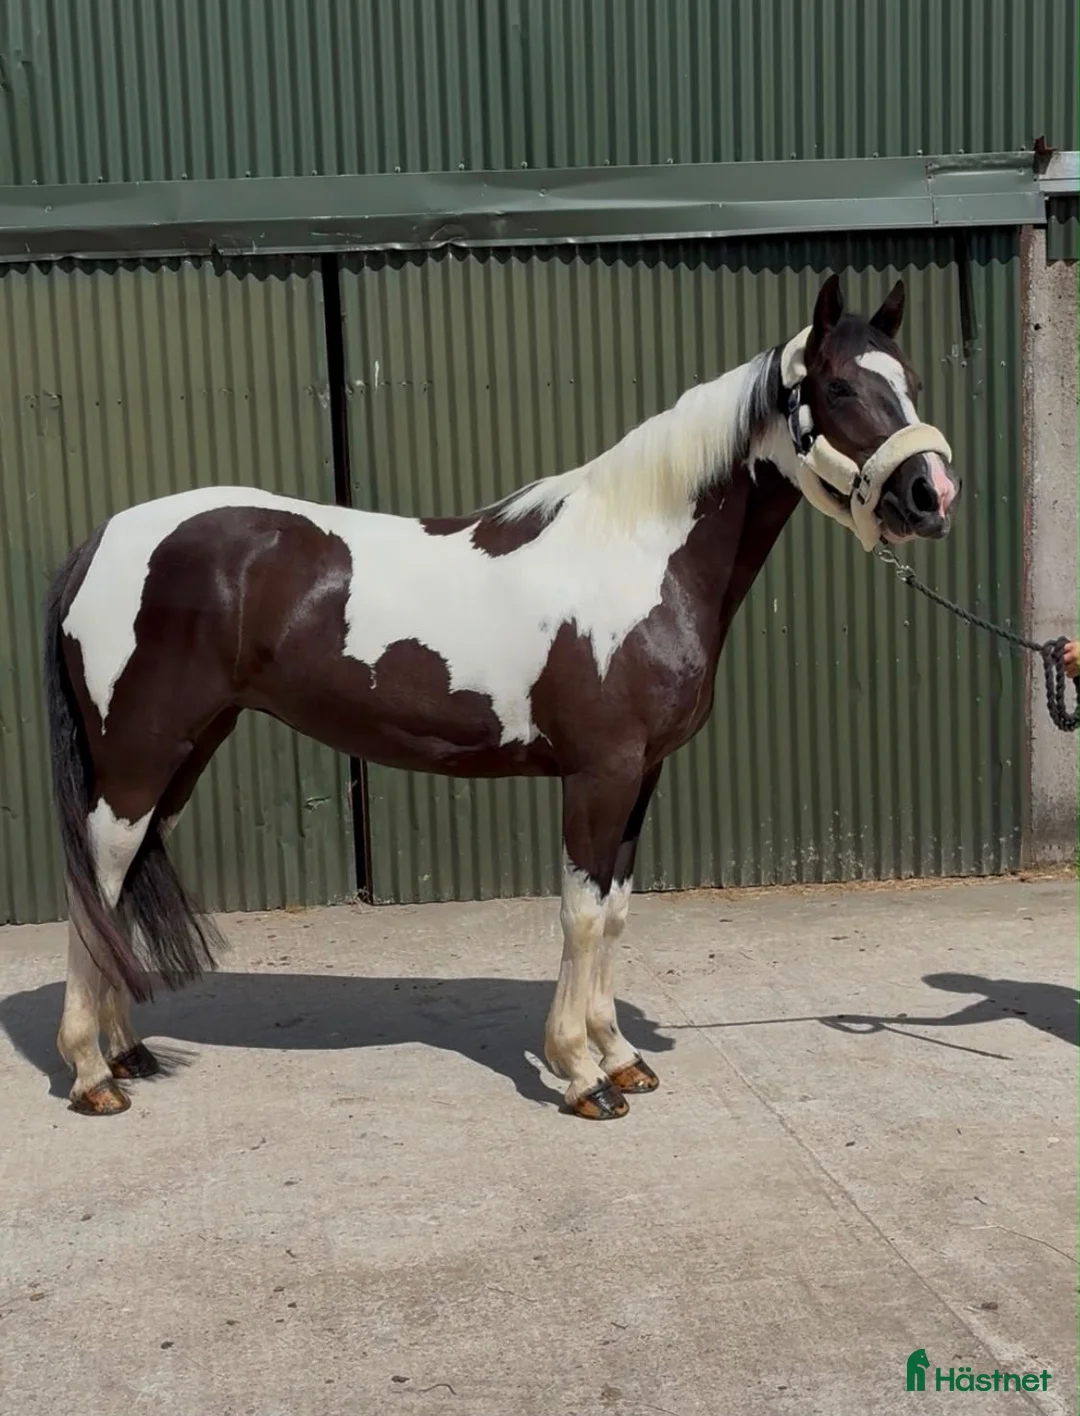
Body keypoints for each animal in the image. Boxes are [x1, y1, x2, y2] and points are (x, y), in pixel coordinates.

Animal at [43, 273, 959, 1121]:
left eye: (911, 378)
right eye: (839, 388)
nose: (931, 496)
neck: (638, 554)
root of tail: (103, 540)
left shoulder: (643, 776)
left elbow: (614, 913)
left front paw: (622, 1056)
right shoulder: (599, 774)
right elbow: (580, 916)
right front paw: (583, 1074)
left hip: (182, 756)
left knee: (116, 891)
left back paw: (124, 1053)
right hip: (137, 761)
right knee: (95, 885)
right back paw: (91, 1074)